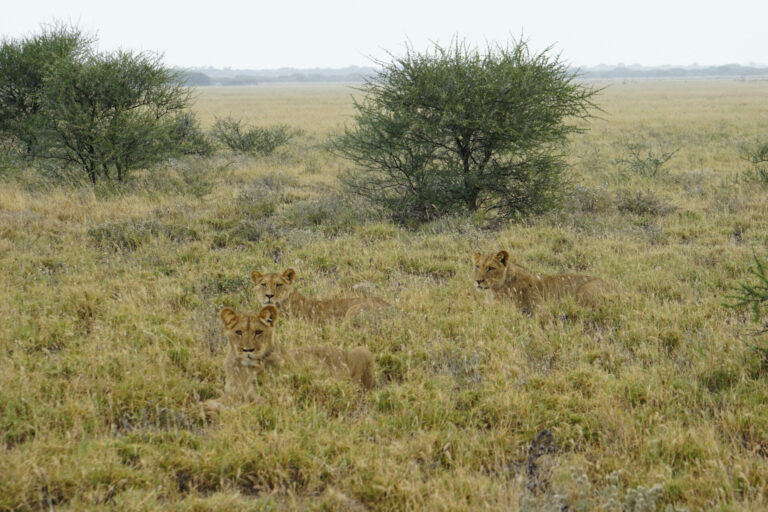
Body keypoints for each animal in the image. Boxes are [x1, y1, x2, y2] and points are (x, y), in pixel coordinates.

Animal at [201, 306, 376, 414]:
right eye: (238, 332)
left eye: (258, 332)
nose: (248, 350)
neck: (246, 370)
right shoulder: (234, 393)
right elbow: (220, 400)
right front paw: (202, 406)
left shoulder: (281, 400)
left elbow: (248, 407)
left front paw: (216, 412)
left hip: (362, 351)